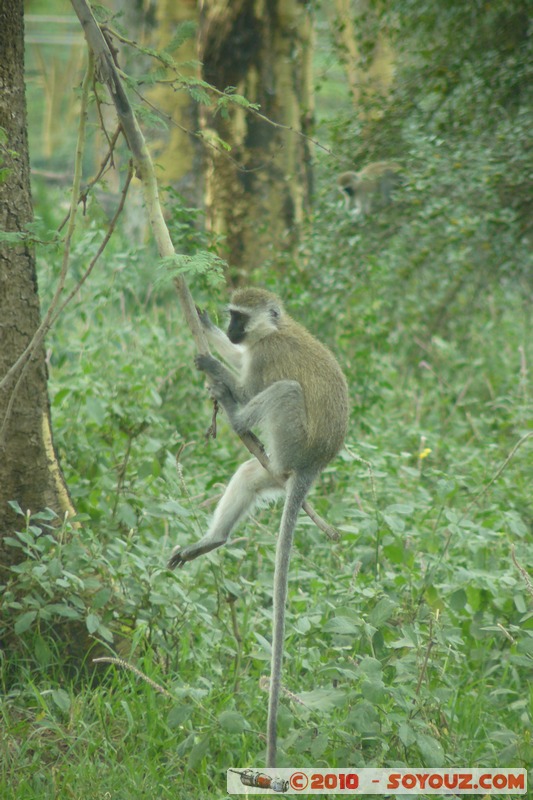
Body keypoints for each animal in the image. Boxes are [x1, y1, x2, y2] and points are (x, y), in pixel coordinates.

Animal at [167, 290, 350, 768]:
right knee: (251, 475)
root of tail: (312, 466)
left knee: (282, 392)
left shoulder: (266, 355)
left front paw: (216, 365)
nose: (231, 330)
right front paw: (205, 325)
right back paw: (213, 540)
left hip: (291, 439)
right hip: (276, 467)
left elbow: (252, 384)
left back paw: (234, 415)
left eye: (240, 317)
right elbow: (240, 358)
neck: (273, 329)